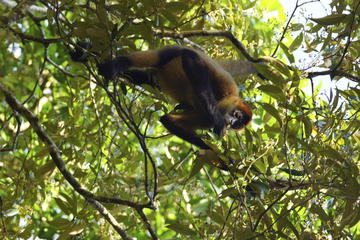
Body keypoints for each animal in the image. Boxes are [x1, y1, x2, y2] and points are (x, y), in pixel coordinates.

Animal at [97, 45, 255, 154]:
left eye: (237, 124)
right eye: (237, 116)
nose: (232, 122)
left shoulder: (207, 120)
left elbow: (168, 120)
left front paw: (226, 161)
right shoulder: (230, 99)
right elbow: (191, 58)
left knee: (142, 78)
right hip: (173, 52)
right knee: (174, 56)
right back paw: (116, 65)